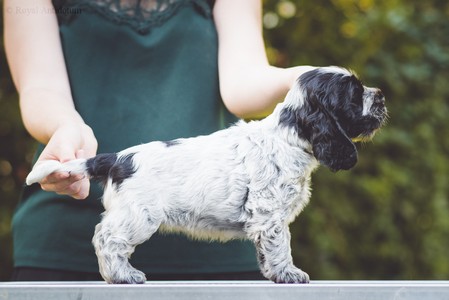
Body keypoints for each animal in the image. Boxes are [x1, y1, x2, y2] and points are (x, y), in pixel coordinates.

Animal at [27, 67, 384, 284]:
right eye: (354, 94)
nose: (380, 94)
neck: (289, 137)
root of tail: (117, 158)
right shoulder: (270, 213)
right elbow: (280, 245)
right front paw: (289, 273)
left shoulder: (266, 218)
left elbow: (268, 249)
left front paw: (274, 272)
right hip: (138, 215)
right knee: (107, 238)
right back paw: (123, 275)